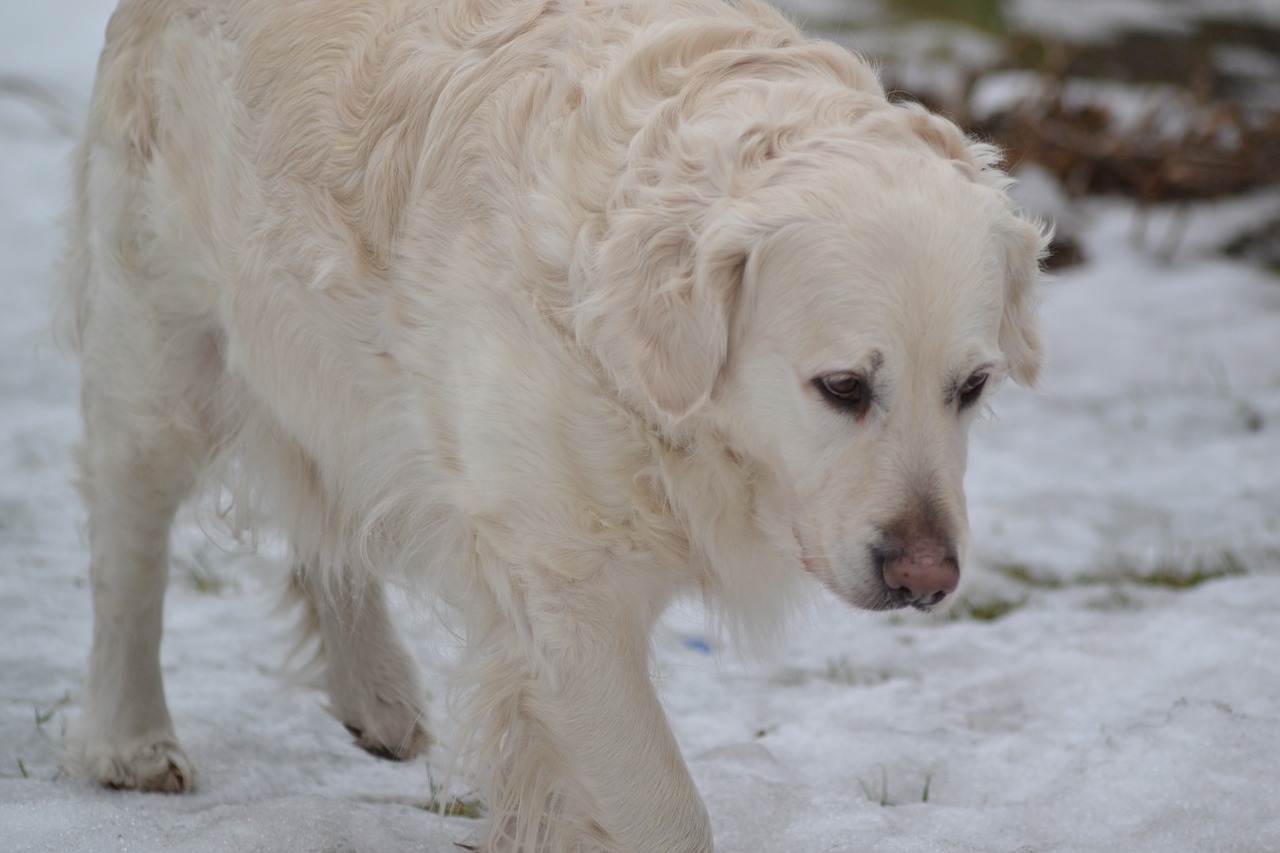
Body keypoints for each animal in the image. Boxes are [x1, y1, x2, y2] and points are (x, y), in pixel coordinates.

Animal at [60, 0, 1044, 845]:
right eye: (842, 386)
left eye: (972, 386)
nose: (927, 578)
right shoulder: (570, 593)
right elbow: (663, 812)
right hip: (161, 353)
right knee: (127, 548)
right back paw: (131, 736)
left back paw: (377, 690)